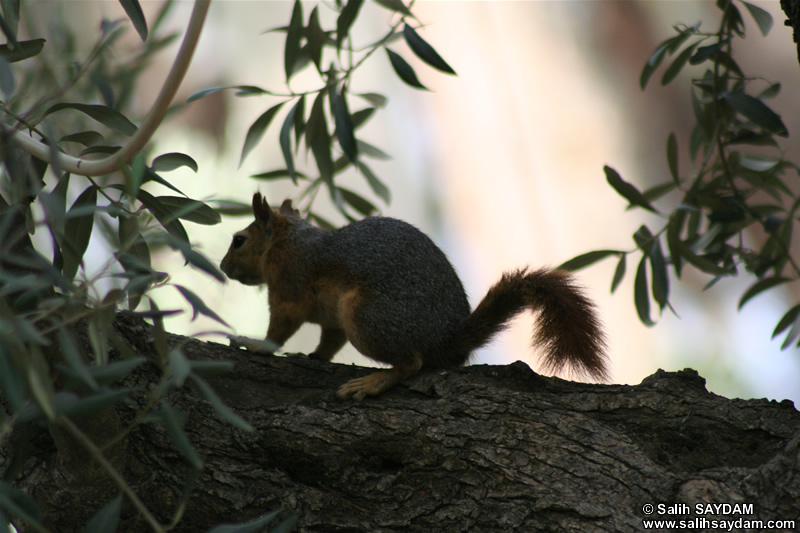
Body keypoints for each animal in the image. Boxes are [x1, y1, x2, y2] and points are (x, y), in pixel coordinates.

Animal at [219, 192, 608, 400]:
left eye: (238, 240)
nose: (222, 266)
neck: (290, 241)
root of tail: (446, 339)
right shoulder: (332, 319)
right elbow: (329, 341)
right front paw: (314, 356)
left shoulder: (290, 285)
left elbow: (280, 328)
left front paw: (254, 345)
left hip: (367, 317)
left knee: (412, 363)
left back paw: (373, 382)